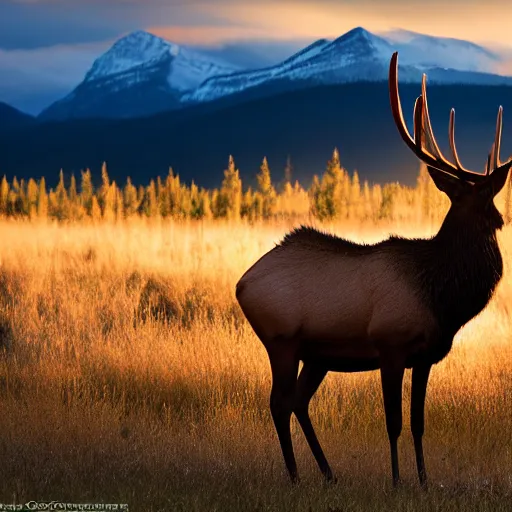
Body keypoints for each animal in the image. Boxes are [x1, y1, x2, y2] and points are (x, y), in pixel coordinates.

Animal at [237, 52, 512, 488]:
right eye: (485, 195)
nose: (500, 218)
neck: (444, 298)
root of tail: (241, 284)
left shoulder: (425, 356)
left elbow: (418, 423)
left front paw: (423, 481)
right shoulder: (391, 345)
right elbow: (393, 422)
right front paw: (397, 482)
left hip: (317, 355)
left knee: (298, 401)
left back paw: (328, 473)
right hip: (281, 342)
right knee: (278, 403)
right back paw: (295, 476)